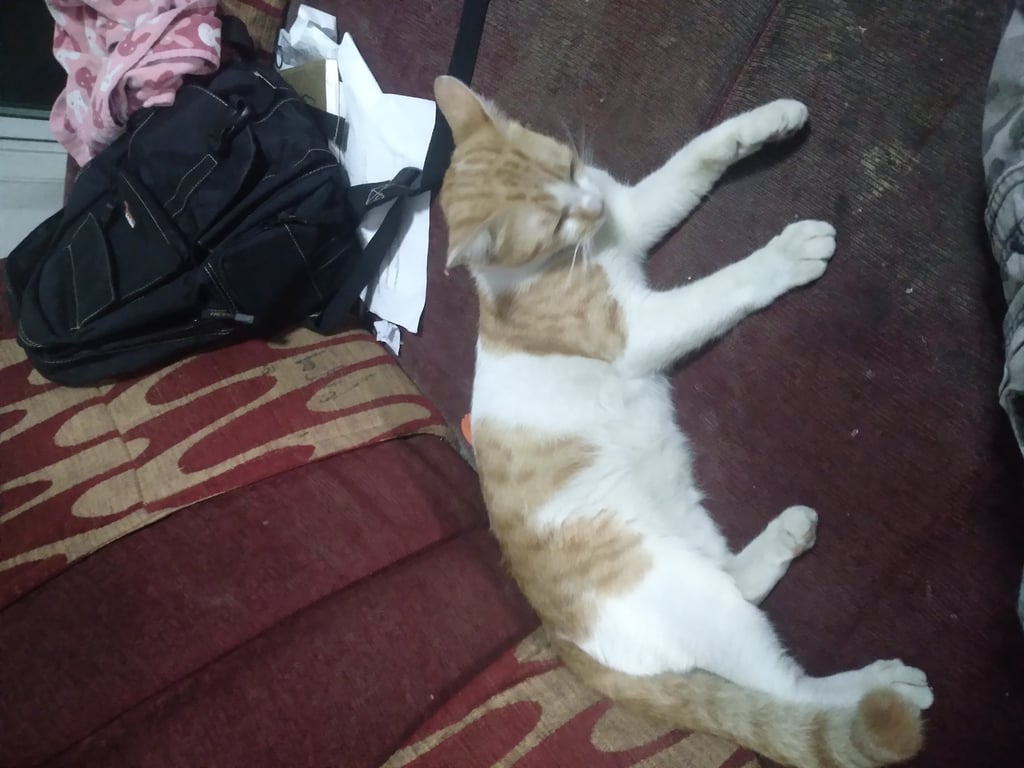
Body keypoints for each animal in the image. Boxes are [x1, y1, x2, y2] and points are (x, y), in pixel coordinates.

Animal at [433, 75, 933, 768]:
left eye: (569, 167)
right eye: (555, 220)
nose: (591, 202)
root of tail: (561, 642)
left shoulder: (633, 211)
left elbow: (700, 154)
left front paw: (768, 121)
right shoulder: (642, 329)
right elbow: (722, 288)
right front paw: (786, 255)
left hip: (695, 541)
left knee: (741, 584)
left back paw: (787, 535)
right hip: (689, 594)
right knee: (791, 695)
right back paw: (882, 687)